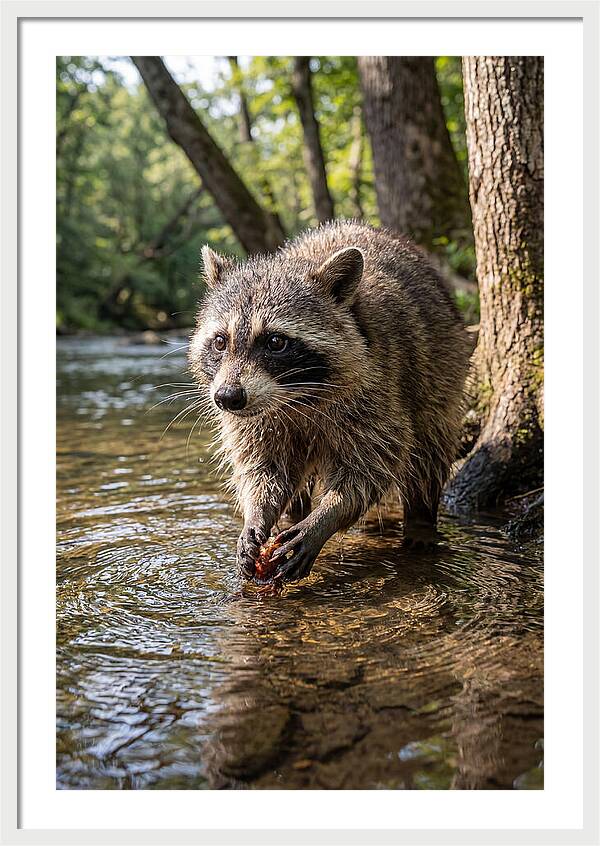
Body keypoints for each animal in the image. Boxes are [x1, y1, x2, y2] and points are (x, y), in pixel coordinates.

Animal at [189, 221, 470, 582]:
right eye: (221, 342)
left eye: (275, 342)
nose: (227, 398)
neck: (295, 396)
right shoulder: (255, 418)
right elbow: (263, 467)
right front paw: (257, 512)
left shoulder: (378, 389)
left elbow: (372, 466)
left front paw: (328, 516)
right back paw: (293, 514)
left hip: (442, 370)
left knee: (428, 453)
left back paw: (421, 520)